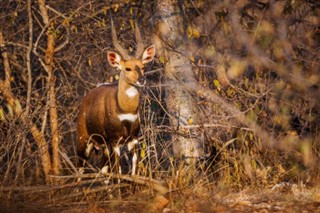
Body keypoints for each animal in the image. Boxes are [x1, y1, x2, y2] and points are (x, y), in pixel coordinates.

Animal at [79, 21, 156, 176]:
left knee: (103, 171)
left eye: (142, 67)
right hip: (83, 140)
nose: (142, 80)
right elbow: (119, 172)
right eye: (127, 68)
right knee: (79, 168)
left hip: (103, 147)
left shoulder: (133, 139)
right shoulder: (115, 141)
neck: (125, 111)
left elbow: (133, 171)